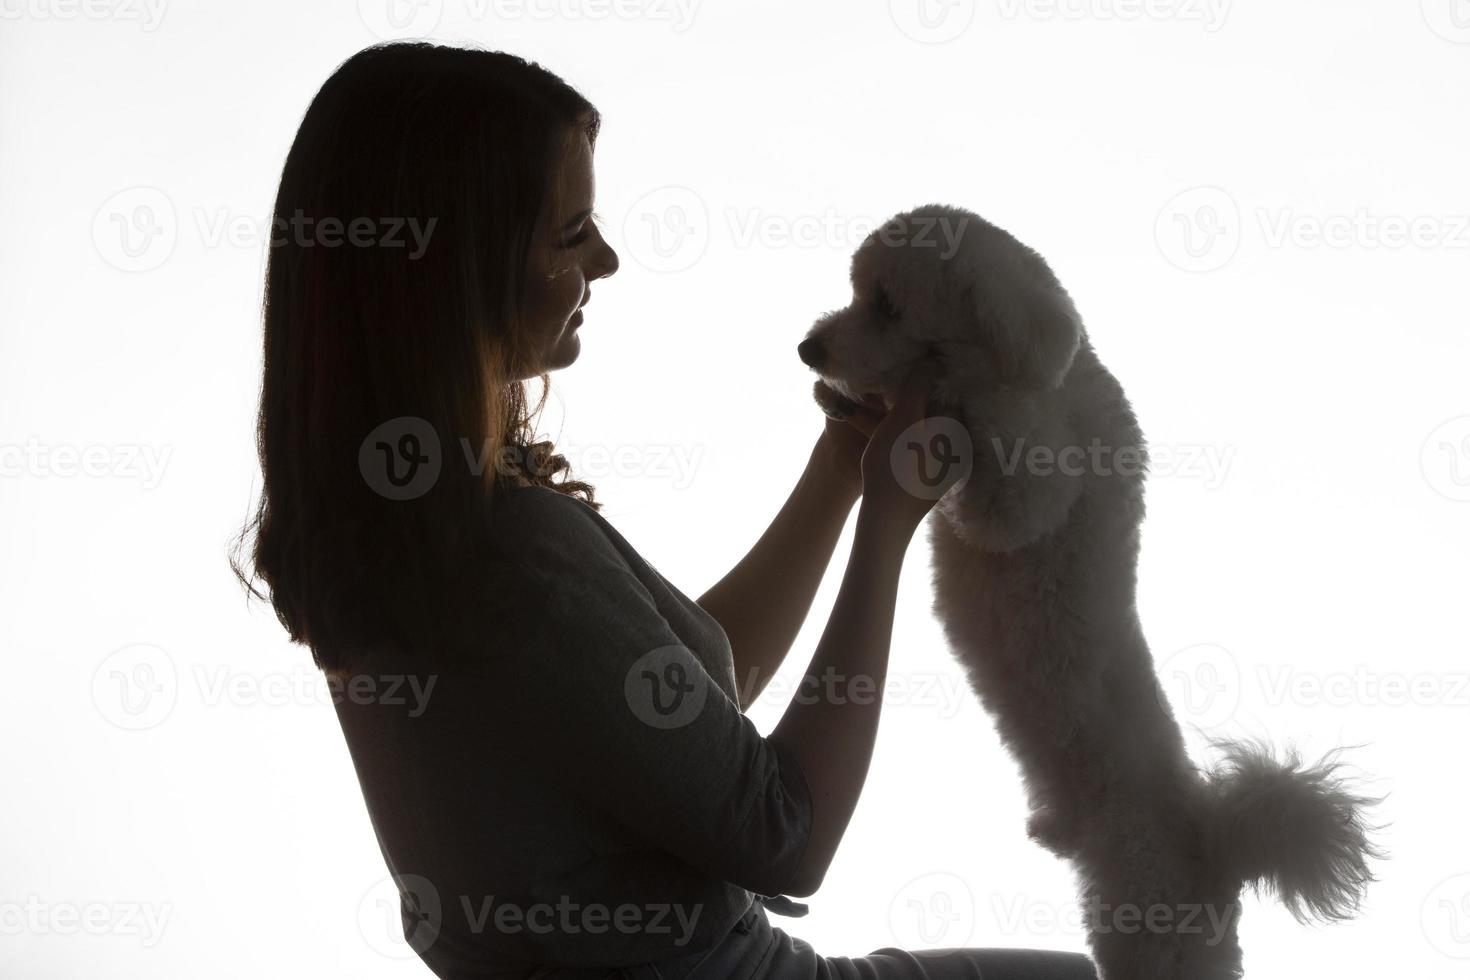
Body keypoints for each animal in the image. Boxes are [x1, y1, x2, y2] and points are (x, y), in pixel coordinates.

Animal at [799, 202, 1381, 975]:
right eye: (855, 292)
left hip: (1143, 920)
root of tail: (1214, 838)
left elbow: (988, 433)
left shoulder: (1027, 495)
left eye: (887, 304)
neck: (1045, 372)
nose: (809, 349)